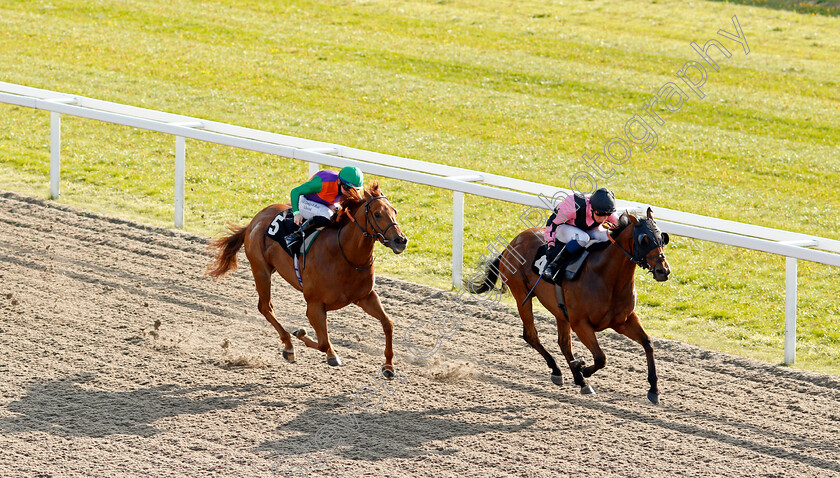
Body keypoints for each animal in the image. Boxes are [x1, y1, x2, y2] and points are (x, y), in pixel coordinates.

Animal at [208, 180, 408, 374]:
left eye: (395, 211)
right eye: (377, 214)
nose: (401, 240)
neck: (345, 254)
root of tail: (254, 220)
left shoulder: (365, 297)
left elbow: (388, 323)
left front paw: (389, 366)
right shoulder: (314, 305)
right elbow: (323, 343)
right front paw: (313, 342)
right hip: (260, 270)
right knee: (265, 307)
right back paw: (289, 346)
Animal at [470, 208, 672, 404]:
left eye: (662, 237)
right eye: (644, 240)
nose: (663, 270)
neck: (606, 277)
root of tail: (512, 243)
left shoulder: (624, 320)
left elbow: (648, 343)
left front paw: (654, 390)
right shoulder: (581, 324)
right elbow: (601, 358)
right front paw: (583, 368)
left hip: (560, 311)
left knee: (563, 343)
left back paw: (580, 381)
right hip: (521, 296)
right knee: (532, 335)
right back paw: (558, 371)